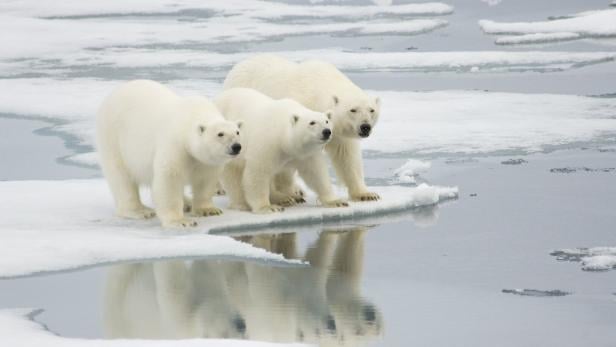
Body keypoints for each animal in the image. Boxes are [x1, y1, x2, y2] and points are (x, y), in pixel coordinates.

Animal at [96, 80, 241, 230]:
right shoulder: (175, 145)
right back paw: (140, 211)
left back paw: (187, 203)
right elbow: (170, 179)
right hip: (113, 138)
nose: (236, 147)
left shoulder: (206, 161)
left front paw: (208, 210)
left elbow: (205, 179)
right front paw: (181, 221)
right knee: (121, 177)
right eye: (220, 134)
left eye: (237, 132)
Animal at [215, 88, 346, 213]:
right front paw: (267, 207)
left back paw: (286, 198)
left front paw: (335, 201)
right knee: (233, 174)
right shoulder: (267, 144)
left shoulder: (306, 153)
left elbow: (316, 173)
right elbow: (258, 173)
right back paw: (242, 203)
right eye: (312, 122)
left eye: (327, 121)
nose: (327, 131)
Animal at [224, 53, 380, 201]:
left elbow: (346, 156)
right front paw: (290, 192)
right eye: (353, 110)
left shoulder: (337, 132)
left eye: (371, 110)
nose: (365, 127)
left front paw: (366, 194)